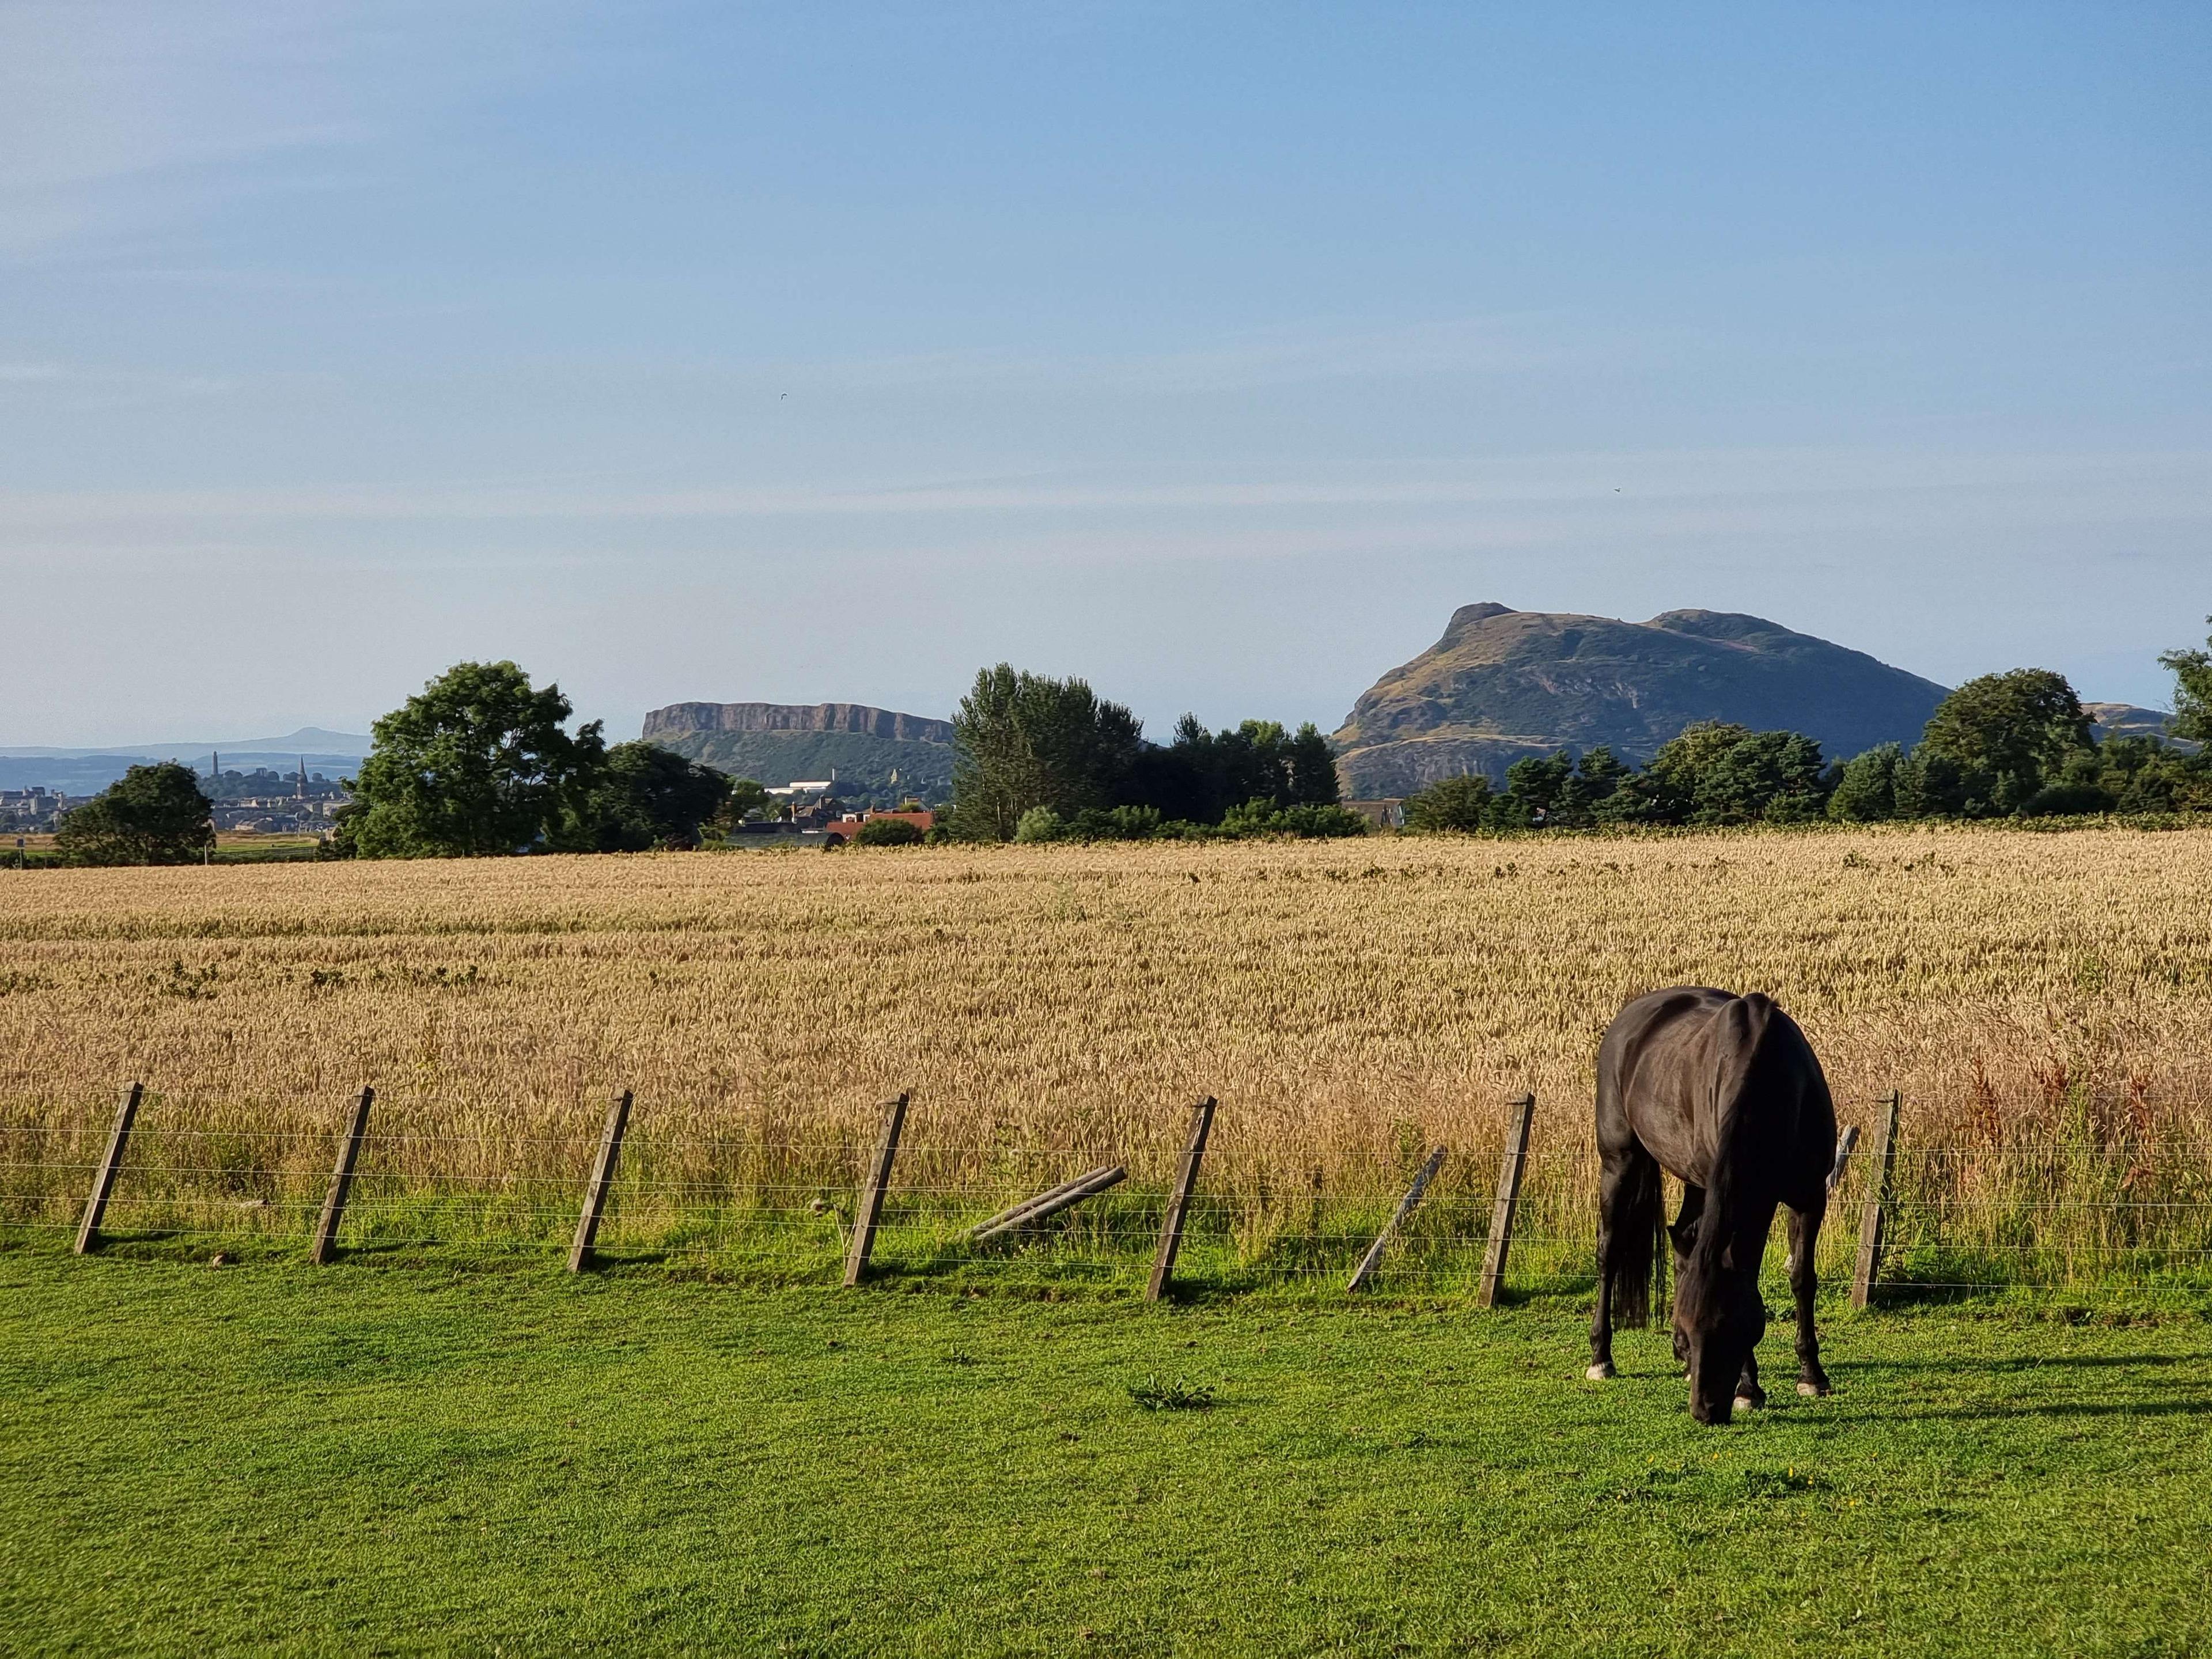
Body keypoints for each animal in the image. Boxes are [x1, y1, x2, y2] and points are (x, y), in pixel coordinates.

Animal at [1592, 986, 1831, 1433]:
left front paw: (1812, 1376)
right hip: (1620, 1161)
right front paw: (1748, 1389)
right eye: (1690, 1330)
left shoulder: (1810, 1196)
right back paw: (1601, 1358)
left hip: (1695, 1181)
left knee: (1683, 1245)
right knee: (1609, 1253)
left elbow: (1802, 1279)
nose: (1705, 1411)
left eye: (1732, 1327)